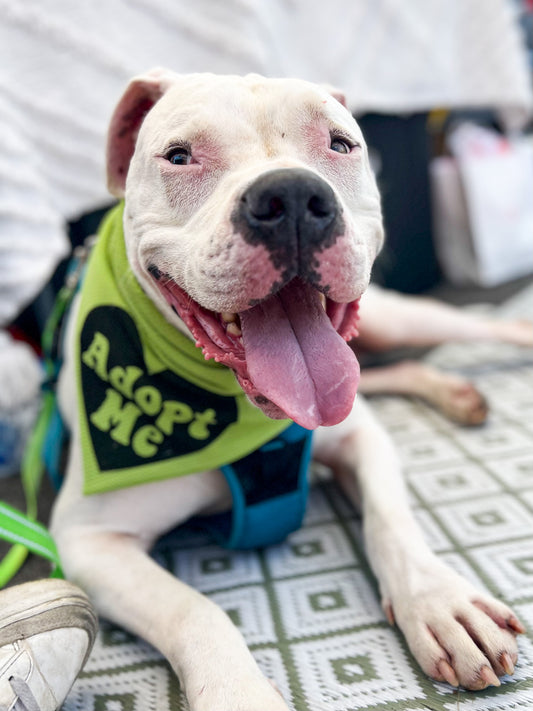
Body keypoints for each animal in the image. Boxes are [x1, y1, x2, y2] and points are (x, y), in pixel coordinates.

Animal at [50, 68, 524, 711]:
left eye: (341, 144)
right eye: (179, 156)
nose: (294, 197)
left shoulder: (363, 440)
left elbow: (392, 522)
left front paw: (441, 601)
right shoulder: (87, 539)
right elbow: (193, 610)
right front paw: (238, 692)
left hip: (402, 320)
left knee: (493, 328)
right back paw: (452, 392)